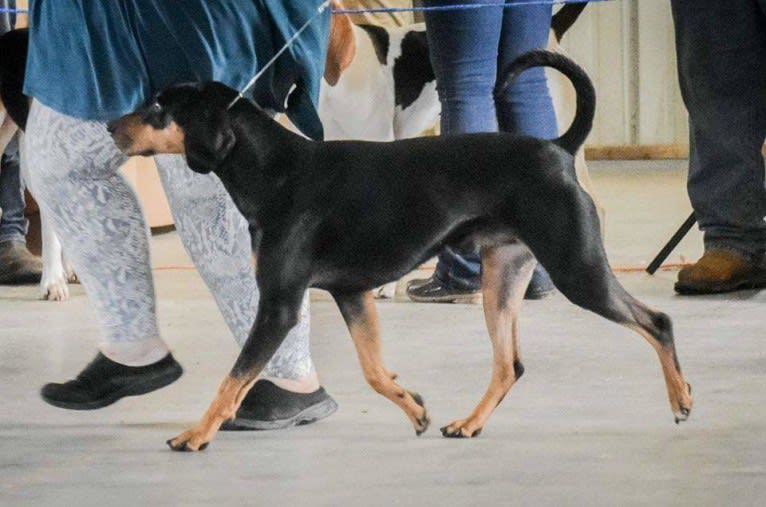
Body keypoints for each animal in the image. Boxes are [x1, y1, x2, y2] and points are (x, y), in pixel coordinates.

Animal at [109, 50, 696, 452]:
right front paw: (414, 408)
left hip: (578, 268)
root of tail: (558, 148)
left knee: (658, 322)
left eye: (159, 107)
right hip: (502, 280)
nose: (111, 125)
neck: (275, 171)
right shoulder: (351, 293)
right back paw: (469, 423)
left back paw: (682, 400)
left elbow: (234, 377)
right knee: (509, 365)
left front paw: (195, 434)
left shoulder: (278, 304)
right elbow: (372, 369)